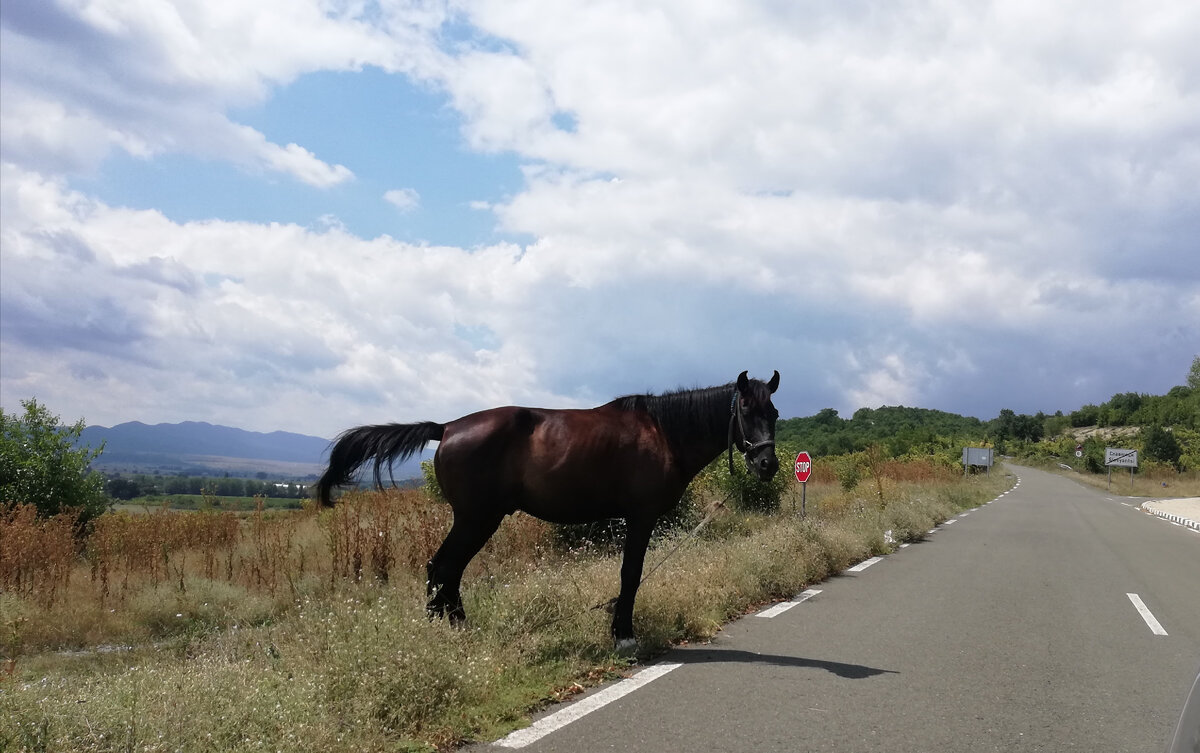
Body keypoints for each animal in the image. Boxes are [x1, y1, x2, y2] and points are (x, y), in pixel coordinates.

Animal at [319, 369, 782, 647]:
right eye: (745, 409)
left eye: (774, 411)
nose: (767, 464)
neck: (663, 432)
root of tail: (447, 427)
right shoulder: (640, 516)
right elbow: (630, 575)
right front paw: (623, 635)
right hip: (476, 518)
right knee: (443, 568)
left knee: (448, 571)